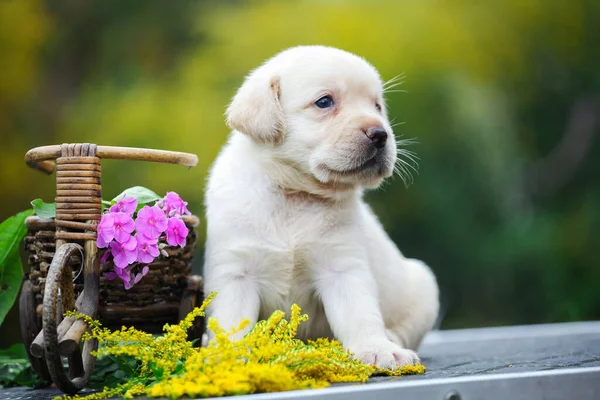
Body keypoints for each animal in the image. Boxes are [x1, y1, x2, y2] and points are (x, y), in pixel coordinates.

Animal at [204, 45, 438, 368]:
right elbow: (230, 323)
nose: (381, 134)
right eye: (324, 102)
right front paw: (226, 357)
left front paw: (376, 348)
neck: (295, 193)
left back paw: (391, 340)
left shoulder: (342, 266)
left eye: (377, 106)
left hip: (423, 286)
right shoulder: (236, 273)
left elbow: (360, 314)